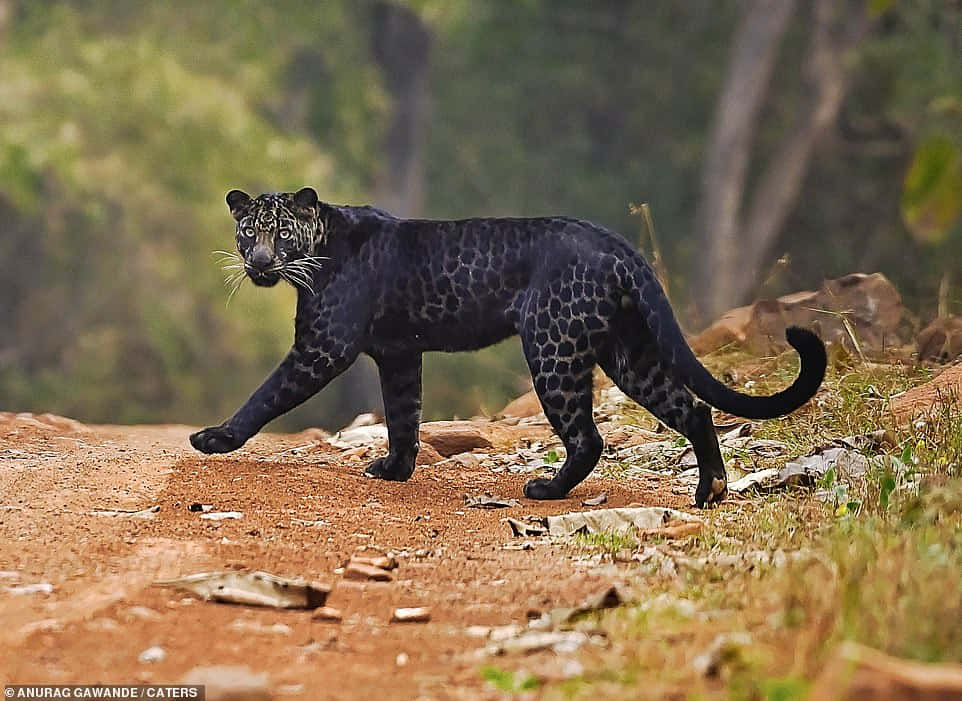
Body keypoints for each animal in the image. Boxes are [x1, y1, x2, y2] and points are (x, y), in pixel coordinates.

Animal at [189, 189, 824, 506]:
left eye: (280, 232)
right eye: (248, 232)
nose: (259, 262)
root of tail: (617, 244)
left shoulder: (323, 346)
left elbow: (267, 394)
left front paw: (215, 438)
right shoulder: (398, 355)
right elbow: (403, 415)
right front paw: (394, 470)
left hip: (553, 348)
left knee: (589, 436)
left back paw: (546, 491)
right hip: (627, 353)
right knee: (691, 408)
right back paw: (709, 492)